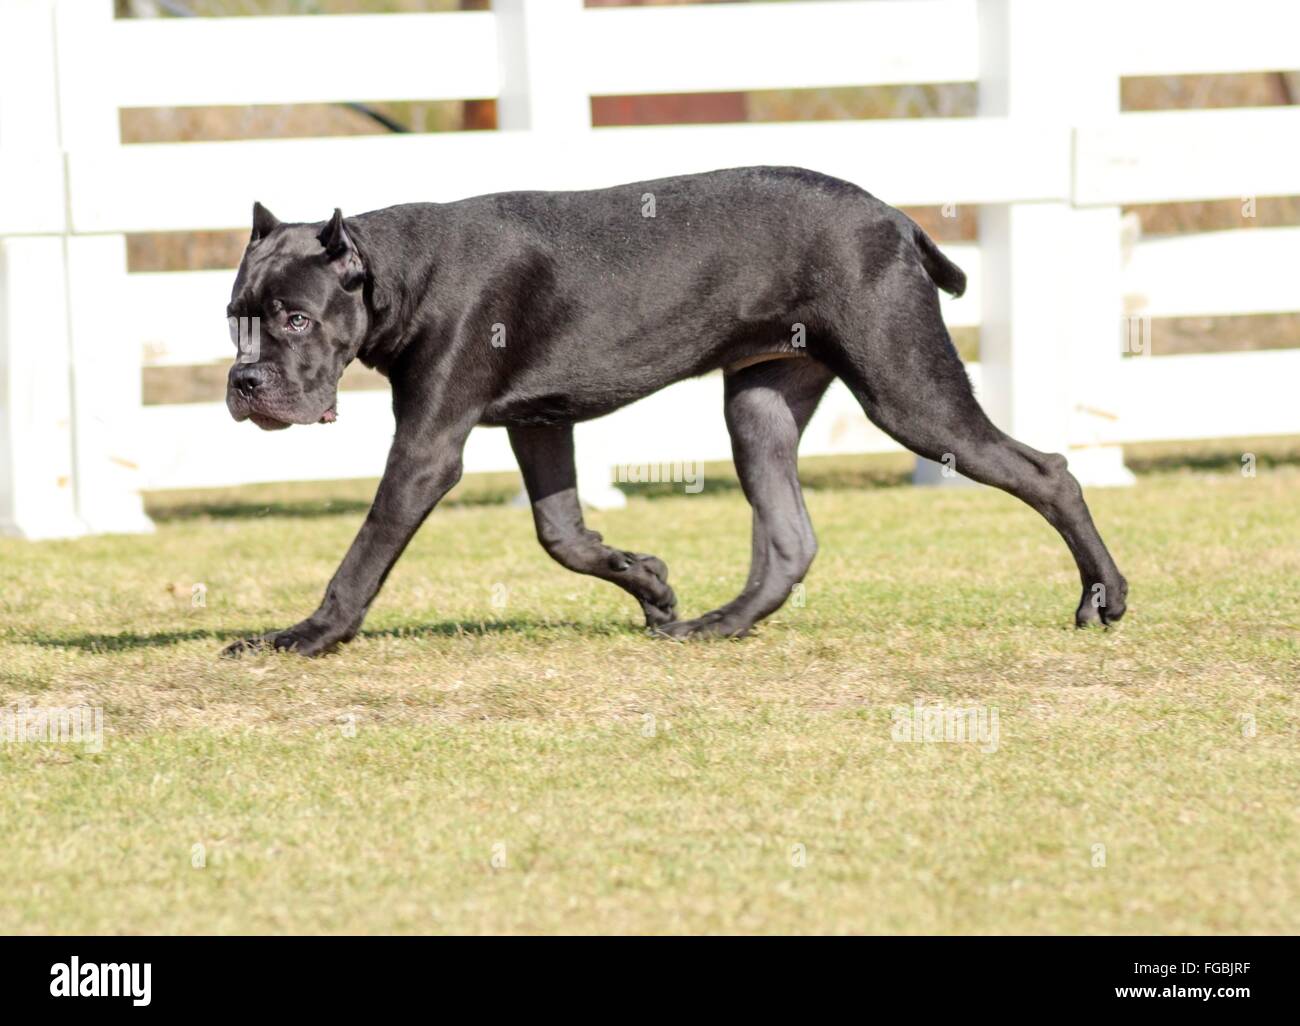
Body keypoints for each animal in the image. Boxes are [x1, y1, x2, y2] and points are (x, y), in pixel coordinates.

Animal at [223, 163, 1128, 652]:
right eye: (236, 317)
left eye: (295, 318)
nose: (244, 383)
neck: (395, 275)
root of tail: (899, 221)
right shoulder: (539, 424)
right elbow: (561, 534)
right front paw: (649, 584)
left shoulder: (426, 448)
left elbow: (365, 553)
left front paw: (307, 636)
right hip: (761, 404)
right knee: (790, 540)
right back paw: (717, 625)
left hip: (906, 391)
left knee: (1049, 472)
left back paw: (1104, 597)